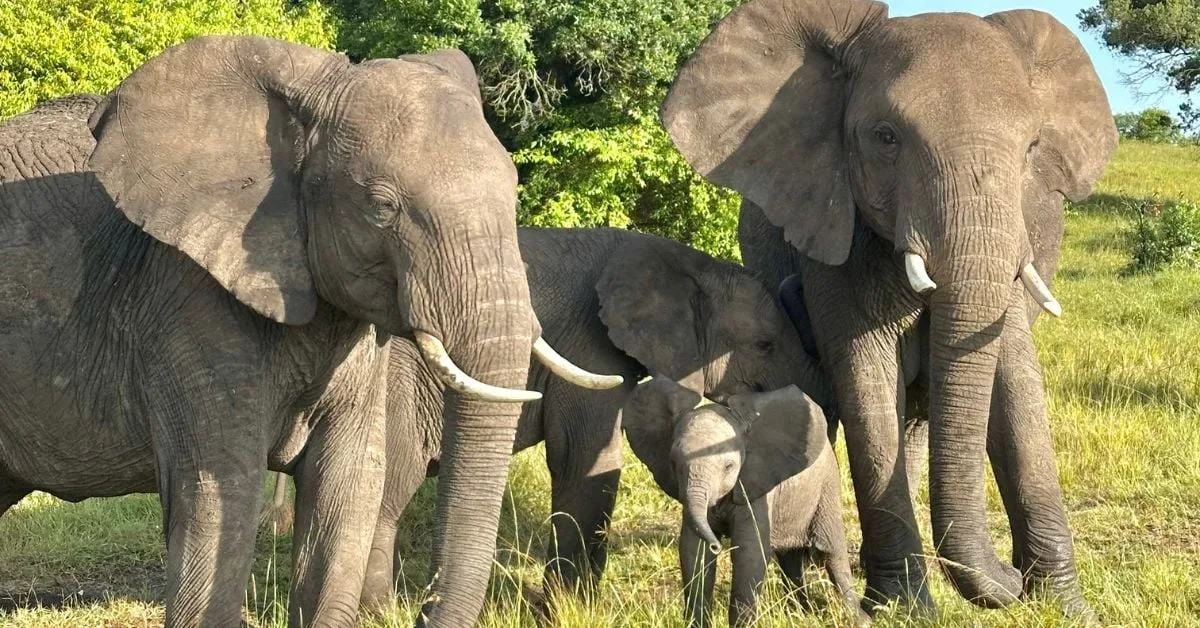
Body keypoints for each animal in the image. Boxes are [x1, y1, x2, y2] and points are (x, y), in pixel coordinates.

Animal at [0, 37, 614, 627]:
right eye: (381, 206)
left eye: (513, 187)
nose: (420, 610)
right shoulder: (183, 296)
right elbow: (222, 491)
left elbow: (349, 482)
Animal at [265, 225, 835, 611]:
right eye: (764, 344)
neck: (681, 260)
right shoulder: (589, 346)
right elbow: (584, 460)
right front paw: (572, 606)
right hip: (394, 385)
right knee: (388, 492)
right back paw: (377, 612)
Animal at [622, 377, 862, 628]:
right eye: (674, 463)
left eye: (729, 466)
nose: (717, 544)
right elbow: (693, 550)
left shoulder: (755, 487)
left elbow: (750, 552)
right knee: (790, 557)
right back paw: (801, 613)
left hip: (828, 486)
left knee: (832, 551)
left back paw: (858, 618)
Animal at [661, 0, 1118, 618]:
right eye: (885, 137)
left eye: (1031, 150)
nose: (1010, 576)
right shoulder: (835, 232)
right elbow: (868, 378)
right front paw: (905, 609)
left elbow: (1017, 383)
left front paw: (1064, 607)